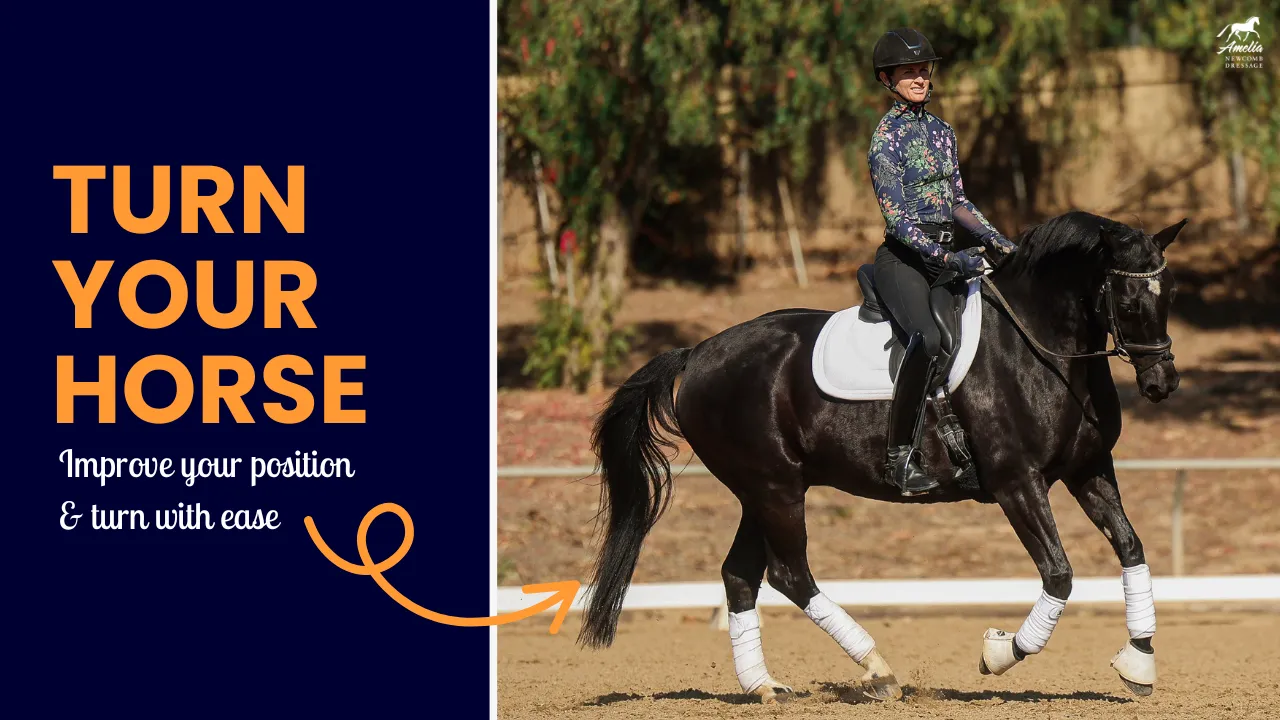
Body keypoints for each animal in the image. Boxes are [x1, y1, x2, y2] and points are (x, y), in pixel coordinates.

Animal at [576, 211, 1187, 702]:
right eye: (1128, 299)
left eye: (1170, 295)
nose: (1161, 384)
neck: (1040, 347)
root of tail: (698, 353)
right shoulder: (1017, 481)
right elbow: (1059, 573)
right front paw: (998, 652)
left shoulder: (1087, 471)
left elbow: (1131, 547)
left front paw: (1138, 663)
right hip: (774, 488)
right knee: (790, 574)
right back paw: (877, 670)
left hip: (764, 490)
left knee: (740, 575)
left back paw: (764, 686)